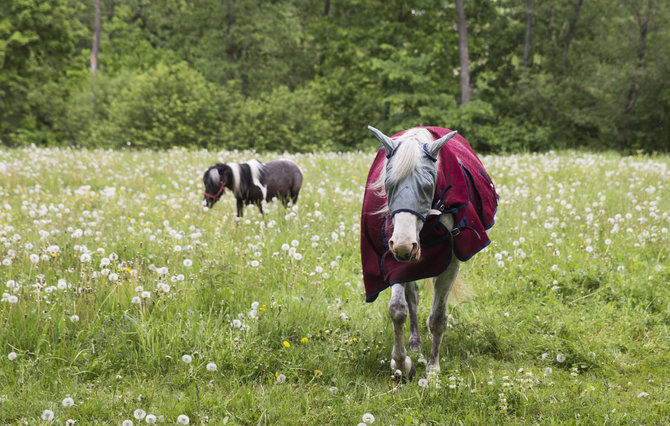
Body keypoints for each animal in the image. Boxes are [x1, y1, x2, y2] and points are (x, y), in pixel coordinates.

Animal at [362, 125, 498, 380]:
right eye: (388, 184)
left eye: (426, 187)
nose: (405, 246)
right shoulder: (393, 260)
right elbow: (398, 310)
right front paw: (402, 363)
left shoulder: (450, 262)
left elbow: (437, 318)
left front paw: (433, 369)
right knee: (412, 297)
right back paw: (415, 342)